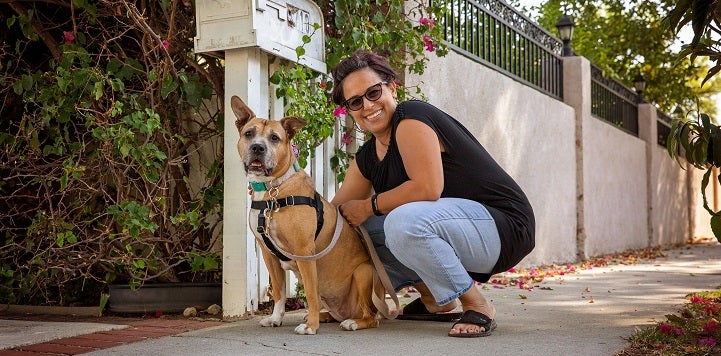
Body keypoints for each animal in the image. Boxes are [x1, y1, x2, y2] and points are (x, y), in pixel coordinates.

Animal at [232, 94, 382, 334]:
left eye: (274, 138)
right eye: (249, 133)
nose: (257, 148)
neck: (272, 190)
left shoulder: (304, 251)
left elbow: (311, 294)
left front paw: (311, 326)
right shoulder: (269, 254)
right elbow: (279, 292)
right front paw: (276, 318)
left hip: (363, 272)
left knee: (370, 316)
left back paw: (352, 322)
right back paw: (326, 316)